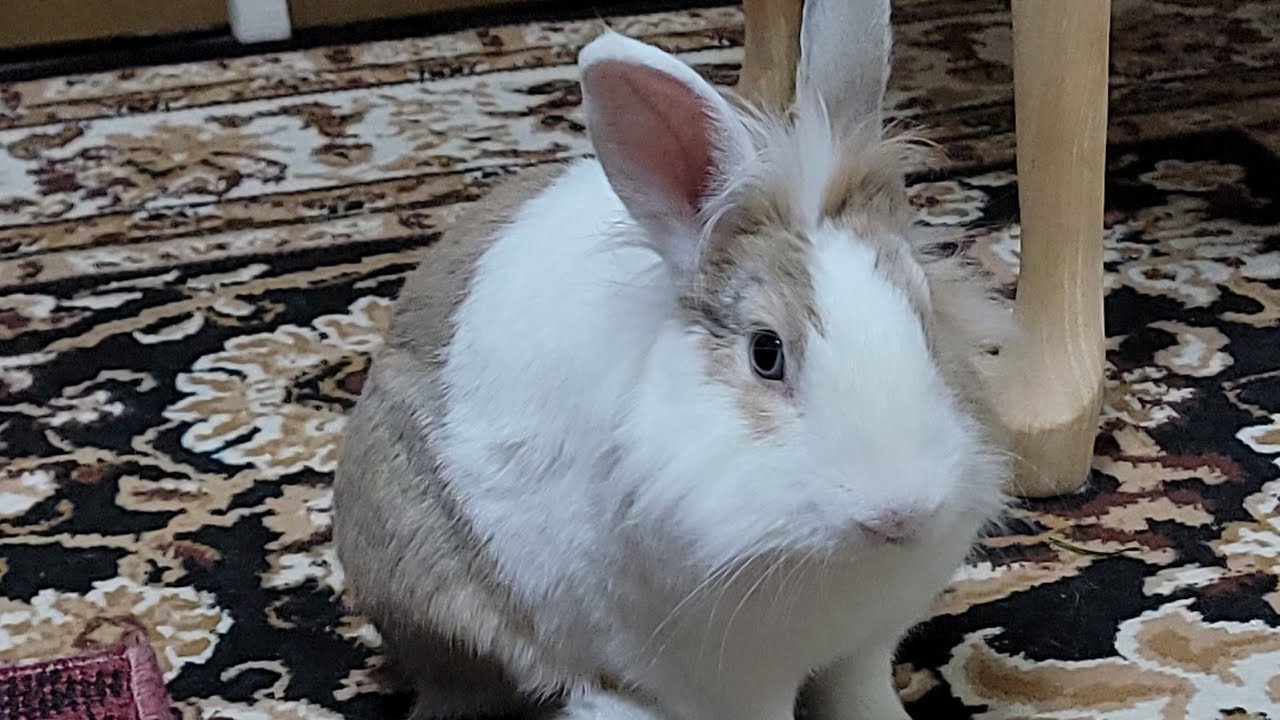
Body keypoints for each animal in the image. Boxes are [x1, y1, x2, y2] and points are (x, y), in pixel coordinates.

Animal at [332, 0, 1015, 718]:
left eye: (925, 316)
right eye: (765, 352)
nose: (900, 512)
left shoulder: (863, 647)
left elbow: (863, 694)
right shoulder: (731, 682)